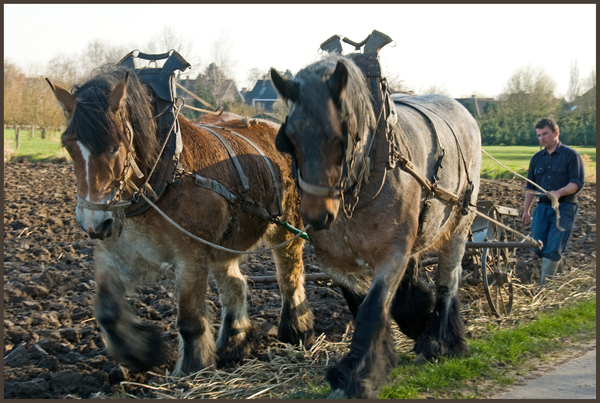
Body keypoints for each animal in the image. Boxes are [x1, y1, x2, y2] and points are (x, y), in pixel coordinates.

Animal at [47, 67, 314, 376]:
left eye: (115, 147)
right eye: (68, 146)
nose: (93, 223)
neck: (162, 178)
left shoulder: (190, 256)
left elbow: (189, 318)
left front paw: (191, 368)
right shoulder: (116, 253)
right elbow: (106, 310)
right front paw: (142, 351)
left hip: (287, 229)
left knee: (289, 278)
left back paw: (296, 329)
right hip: (224, 244)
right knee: (234, 285)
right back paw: (234, 343)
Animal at [272, 55, 482, 400]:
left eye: (341, 137)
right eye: (290, 139)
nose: (317, 216)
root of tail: (463, 110)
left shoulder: (392, 253)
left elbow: (372, 307)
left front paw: (358, 376)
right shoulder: (334, 261)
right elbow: (360, 303)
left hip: (459, 225)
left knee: (448, 280)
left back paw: (439, 341)